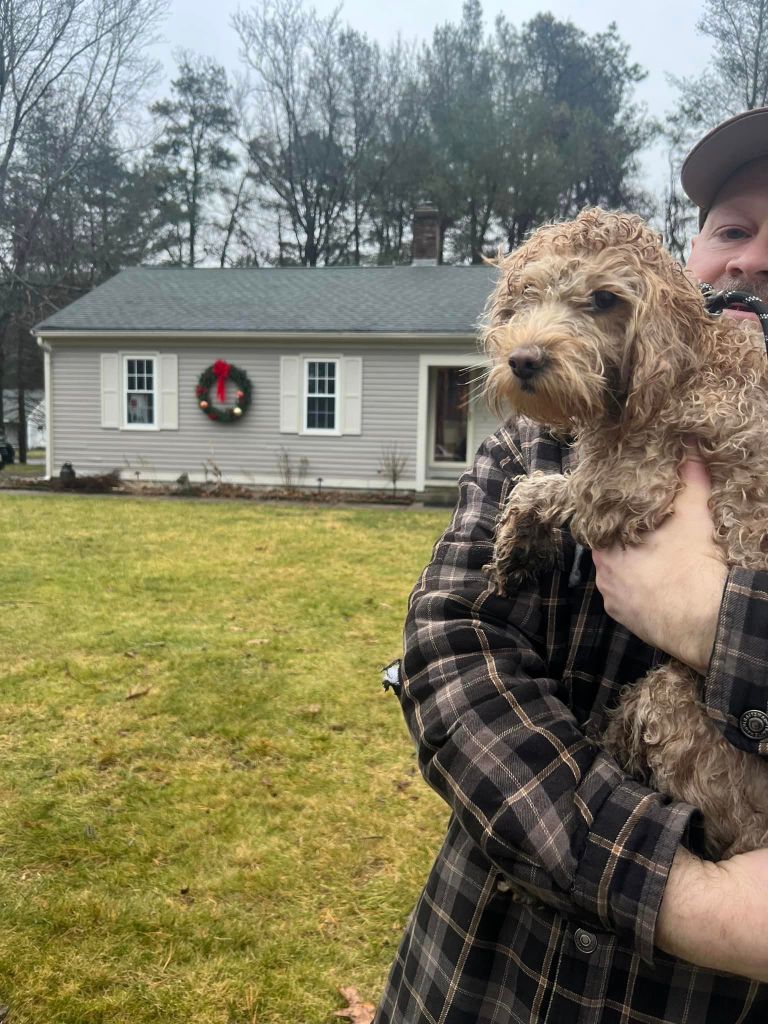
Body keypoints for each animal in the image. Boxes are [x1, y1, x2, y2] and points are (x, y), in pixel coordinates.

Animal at [483, 205, 768, 856]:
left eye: (605, 299)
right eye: (527, 293)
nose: (524, 359)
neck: (682, 363)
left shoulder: (634, 485)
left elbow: (544, 485)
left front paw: (517, 541)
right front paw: (514, 551)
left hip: (672, 703)